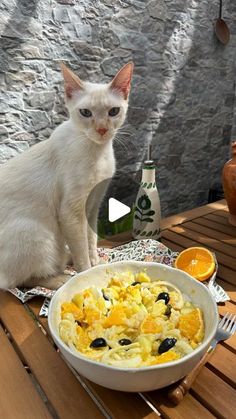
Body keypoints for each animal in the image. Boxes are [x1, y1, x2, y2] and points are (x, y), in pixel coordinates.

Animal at [0, 62, 134, 290]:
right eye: (86, 113)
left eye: (113, 111)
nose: (101, 129)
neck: (98, 152)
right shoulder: (71, 211)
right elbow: (82, 253)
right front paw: (87, 273)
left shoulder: (93, 204)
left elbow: (91, 239)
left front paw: (96, 262)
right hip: (36, 232)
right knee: (16, 281)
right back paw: (61, 279)